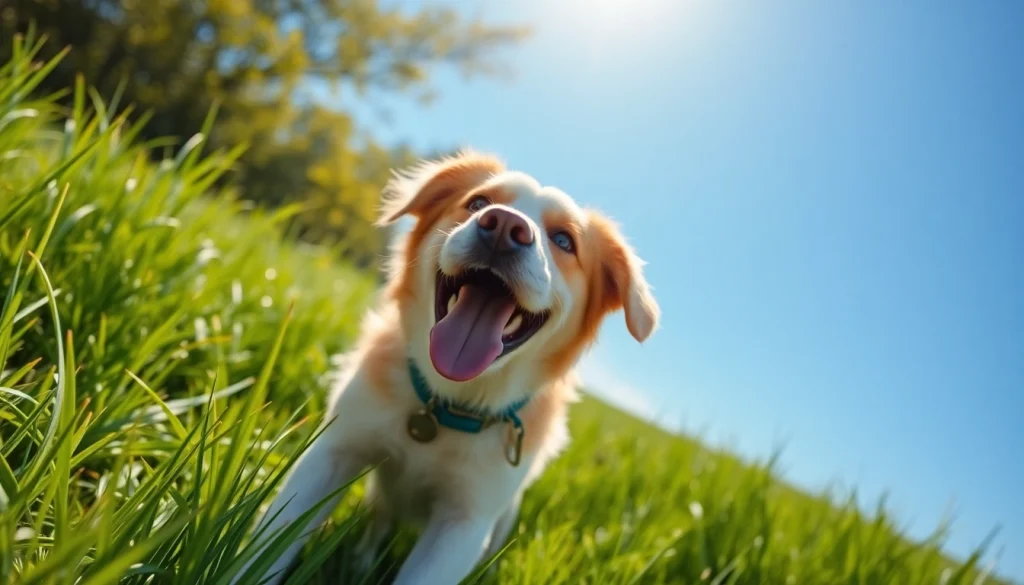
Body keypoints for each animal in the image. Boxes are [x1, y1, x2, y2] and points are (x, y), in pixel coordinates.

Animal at [235, 152, 659, 585]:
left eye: (563, 241)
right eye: (478, 203)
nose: (504, 225)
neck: (444, 404)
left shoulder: (464, 523)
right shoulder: (333, 452)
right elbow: (268, 549)